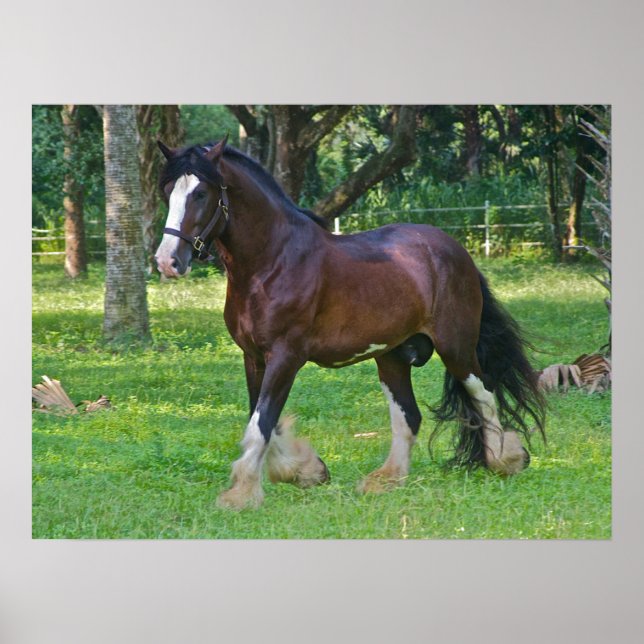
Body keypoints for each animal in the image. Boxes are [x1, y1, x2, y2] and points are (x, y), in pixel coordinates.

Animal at [154, 136, 546, 510]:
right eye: (167, 190)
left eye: (200, 192)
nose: (167, 262)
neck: (273, 262)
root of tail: (455, 250)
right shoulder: (254, 357)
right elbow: (262, 418)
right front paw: (305, 471)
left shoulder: (286, 357)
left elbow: (262, 422)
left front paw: (241, 494)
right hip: (392, 357)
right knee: (409, 416)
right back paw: (386, 480)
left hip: (456, 347)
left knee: (483, 394)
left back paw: (505, 459)